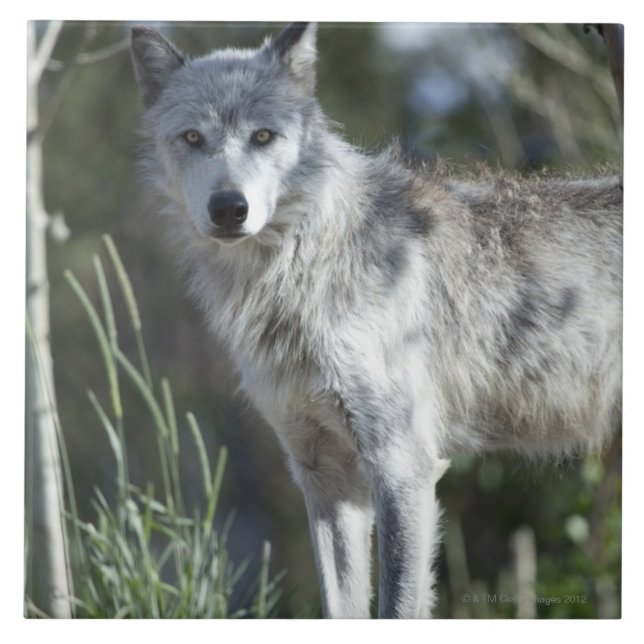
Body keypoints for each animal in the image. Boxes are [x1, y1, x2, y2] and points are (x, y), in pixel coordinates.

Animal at [130, 23, 622, 618]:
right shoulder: (324, 476)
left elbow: (397, 606)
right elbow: (341, 606)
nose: (229, 208)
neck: (300, 275)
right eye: (193, 138)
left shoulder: (402, 467)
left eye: (264, 136)